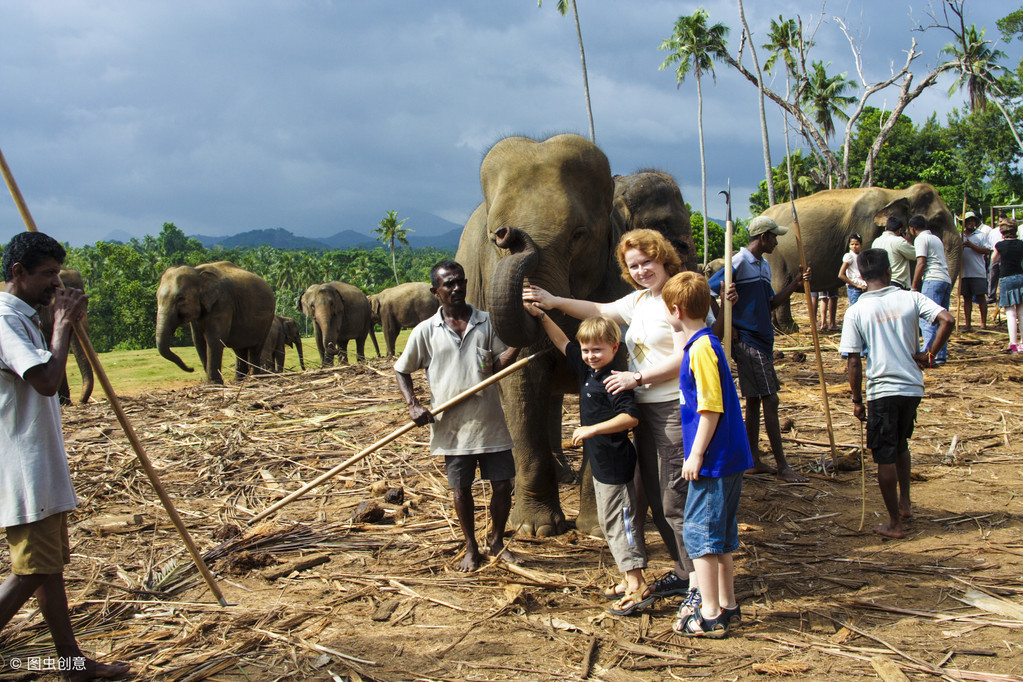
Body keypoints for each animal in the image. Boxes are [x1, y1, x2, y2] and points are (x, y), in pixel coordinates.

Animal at [765, 180, 961, 331]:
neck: (897, 194)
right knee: (781, 285)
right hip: (776, 256)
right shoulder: (867, 229)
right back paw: (791, 328)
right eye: (936, 221)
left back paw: (778, 328)